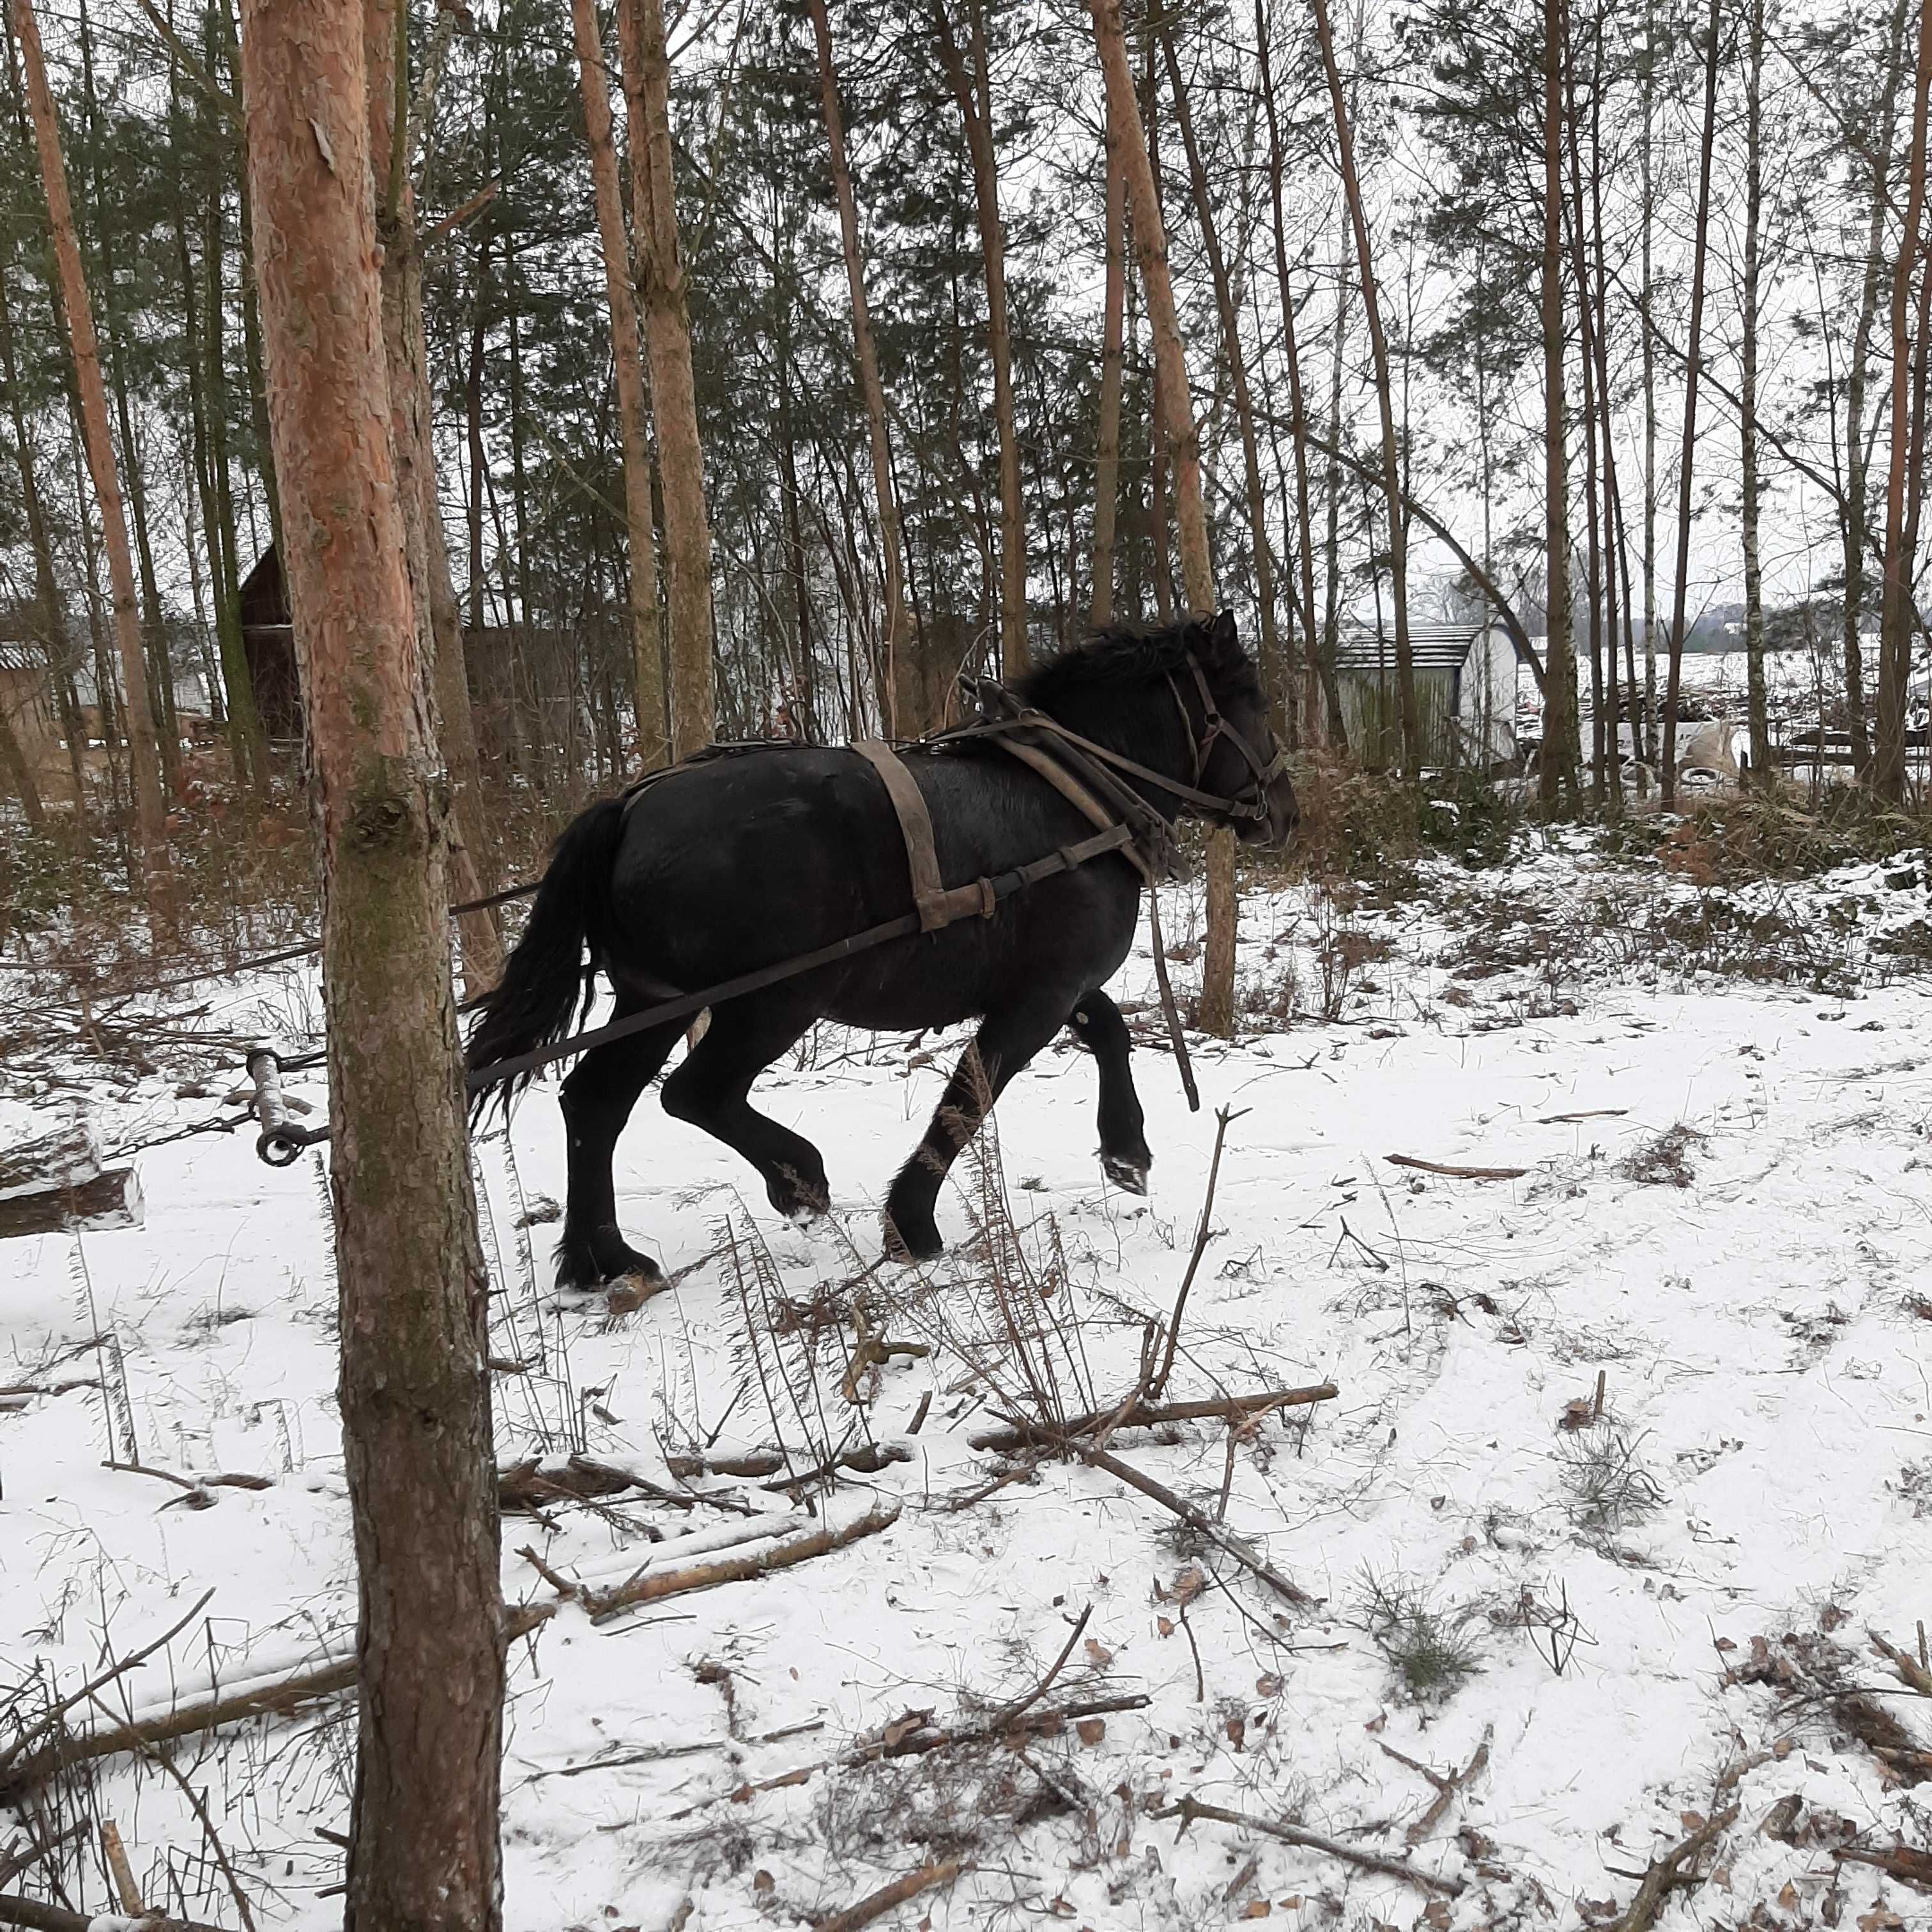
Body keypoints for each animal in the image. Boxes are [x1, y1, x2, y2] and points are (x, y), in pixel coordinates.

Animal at [471, 610, 1298, 1291]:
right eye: (1253, 700)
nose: (1285, 811)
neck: (1075, 799)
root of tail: (630, 807)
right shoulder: (1038, 995)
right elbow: (969, 1098)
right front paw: (911, 1226)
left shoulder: (1049, 981)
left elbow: (1109, 1032)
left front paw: (1127, 1152)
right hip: (772, 1000)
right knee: (694, 1094)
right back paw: (797, 1178)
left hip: (657, 1000)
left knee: (595, 1103)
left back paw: (601, 1259)